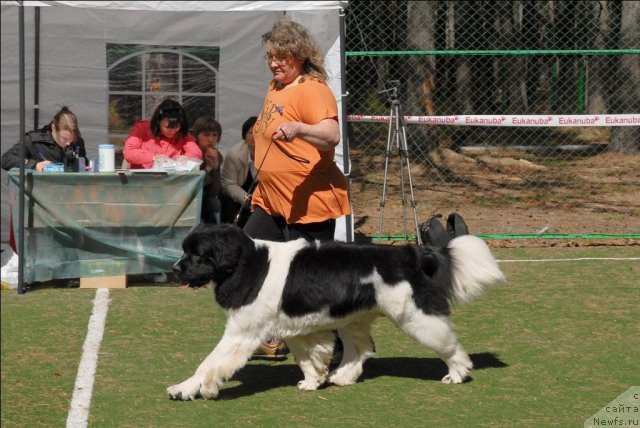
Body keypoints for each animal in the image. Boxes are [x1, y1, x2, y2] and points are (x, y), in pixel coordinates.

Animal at [168, 222, 508, 400]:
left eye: (197, 255)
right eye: (185, 251)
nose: (174, 269)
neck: (248, 262)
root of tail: (411, 252)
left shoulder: (241, 333)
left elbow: (209, 363)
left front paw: (185, 388)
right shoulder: (296, 327)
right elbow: (309, 358)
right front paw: (312, 381)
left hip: (414, 316)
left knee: (448, 344)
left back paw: (457, 372)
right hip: (352, 318)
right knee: (361, 348)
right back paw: (342, 376)